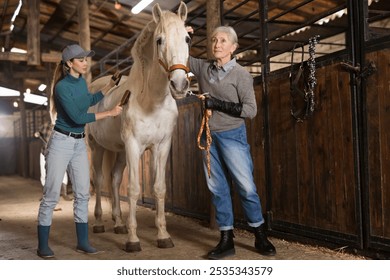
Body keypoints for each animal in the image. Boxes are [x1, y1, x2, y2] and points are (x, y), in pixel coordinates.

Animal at [88, 2, 192, 252]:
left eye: (187, 38)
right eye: (160, 40)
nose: (180, 85)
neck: (151, 99)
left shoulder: (161, 146)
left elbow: (159, 188)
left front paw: (163, 236)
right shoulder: (134, 146)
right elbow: (135, 189)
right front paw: (133, 240)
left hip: (119, 152)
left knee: (114, 180)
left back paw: (118, 224)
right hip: (98, 149)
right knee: (99, 180)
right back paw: (99, 223)